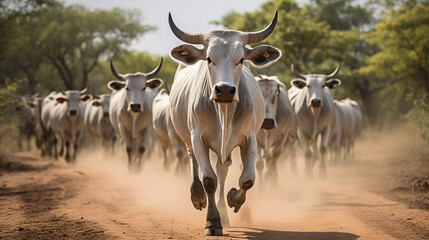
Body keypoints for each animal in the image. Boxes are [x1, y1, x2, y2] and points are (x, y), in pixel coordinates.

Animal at [166, 12, 280, 235]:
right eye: (209, 59)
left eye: (241, 59)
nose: (225, 90)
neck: (224, 112)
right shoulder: (198, 137)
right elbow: (209, 180)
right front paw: (212, 221)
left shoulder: (249, 138)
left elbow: (247, 179)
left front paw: (232, 199)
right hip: (187, 138)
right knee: (193, 162)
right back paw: (197, 196)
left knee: (222, 171)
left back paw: (224, 211)